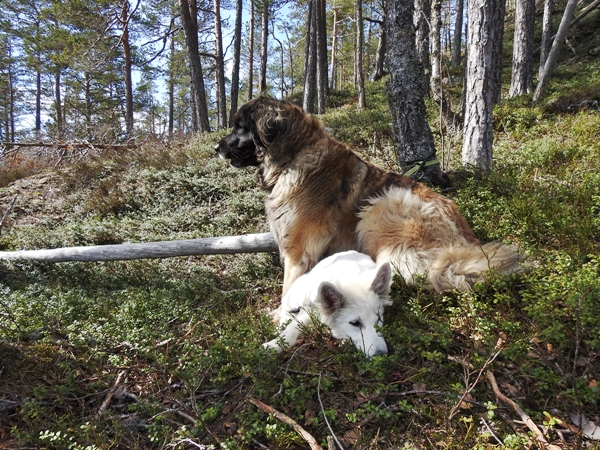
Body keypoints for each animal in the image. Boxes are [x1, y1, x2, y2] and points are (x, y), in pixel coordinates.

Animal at [217, 97, 520, 296]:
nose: (217, 147)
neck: (294, 156)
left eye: (240, 127)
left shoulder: (299, 248)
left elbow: (289, 285)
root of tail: (465, 243)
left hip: (381, 206)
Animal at [262, 251, 394, 356]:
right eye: (355, 323)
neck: (350, 278)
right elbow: (292, 327)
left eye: (378, 319)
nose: (382, 354)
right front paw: (275, 344)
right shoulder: (312, 309)